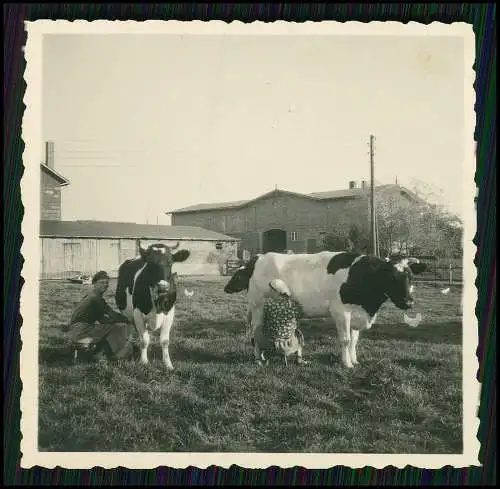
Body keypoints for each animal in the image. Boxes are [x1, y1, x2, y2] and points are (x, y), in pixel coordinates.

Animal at [116, 240, 190, 370]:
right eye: (150, 264)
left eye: (170, 263)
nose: (163, 286)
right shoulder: (138, 313)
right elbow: (144, 340)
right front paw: (144, 361)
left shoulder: (169, 313)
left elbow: (164, 341)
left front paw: (168, 364)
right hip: (128, 315)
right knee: (131, 331)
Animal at [225, 252, 428, 366]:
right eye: (391, 277)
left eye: (410, 277)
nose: (409, 302)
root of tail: (258, 257)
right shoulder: (341, 312)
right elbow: (346, 340)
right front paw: (347, 364)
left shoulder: (356, 314)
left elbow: (354, 341)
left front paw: (354, 360)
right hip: (258, 306)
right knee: (255, 333)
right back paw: (259, 359)